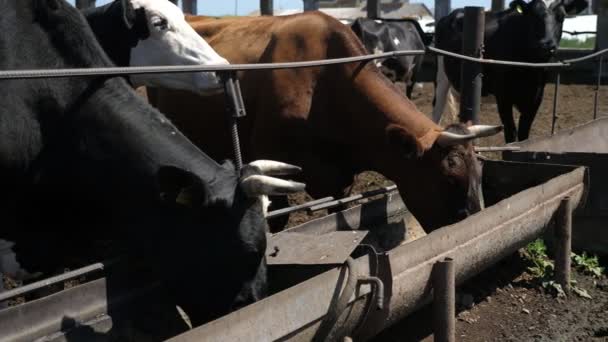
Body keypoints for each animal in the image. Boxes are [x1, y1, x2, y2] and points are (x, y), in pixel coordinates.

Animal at [150, 12, 502, 232]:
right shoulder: (270, 161)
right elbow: (275, 221)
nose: (475, 223)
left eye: (480, 171)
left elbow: (337, 211)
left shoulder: (339, 178)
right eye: (448, 176)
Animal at [432, 0, 588, 143]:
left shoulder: (536, 96)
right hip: (441, 76)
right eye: (533, 15)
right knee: (437, 108)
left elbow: (524, 133)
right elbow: (511, 132)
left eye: (561, 17)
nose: (547, 44)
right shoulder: (503, 96)